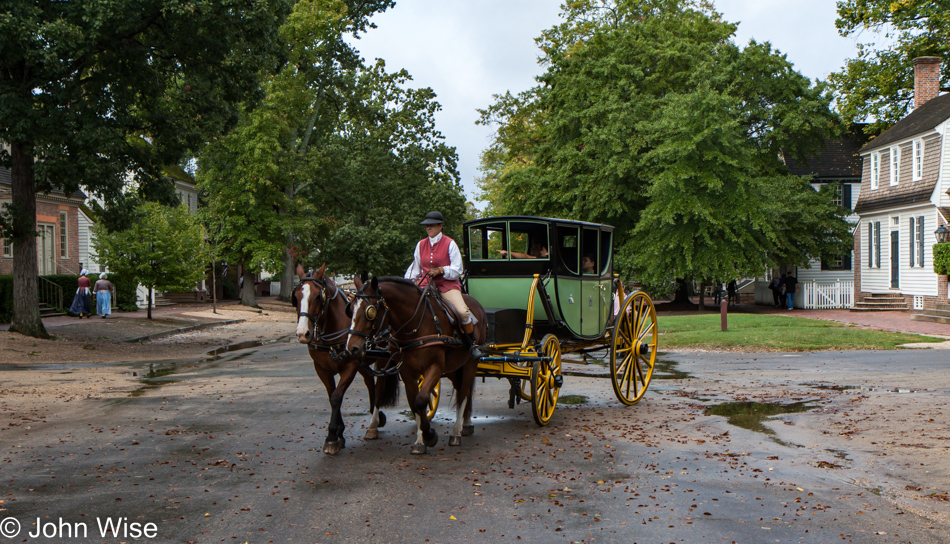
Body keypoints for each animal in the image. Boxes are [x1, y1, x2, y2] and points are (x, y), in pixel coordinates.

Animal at [288, 264, 396, 454]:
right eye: (296, 297)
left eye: (318, 296)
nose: (302, 333)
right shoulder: (321, 368)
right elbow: (331, 395)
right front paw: (339, 432)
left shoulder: (350, 367)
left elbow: (336, 397)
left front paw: (332, 437)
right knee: (370, 382)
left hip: (382, 359)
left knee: (379, 387)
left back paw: (373, 425)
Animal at [346, 276, 488, 454]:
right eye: (351, 309)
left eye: (370, 311)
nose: (352, 348)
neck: (416, 324)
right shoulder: (408, 373)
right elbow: (415, 403)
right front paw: (420, 441)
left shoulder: (435, 368)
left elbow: (421, 400)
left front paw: (429, 436)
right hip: (453, 368)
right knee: (463, 389)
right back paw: (466, 425)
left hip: (470, 363)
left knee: (463, 393)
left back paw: (456, 432)